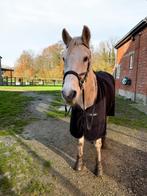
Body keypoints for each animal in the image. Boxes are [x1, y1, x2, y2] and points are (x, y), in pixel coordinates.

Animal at [60, 25, 115, 176]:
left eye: (85, 58)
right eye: (63, 58)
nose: (68, 94)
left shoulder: (97, 120)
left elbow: (97, 144)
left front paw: (98, 168)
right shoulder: (78, 121)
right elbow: (80, 142)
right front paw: (79, 163)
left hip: (108, 113)